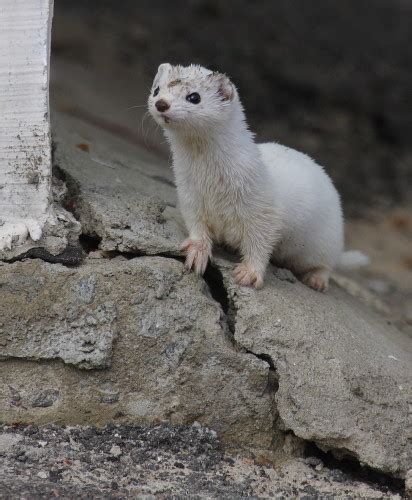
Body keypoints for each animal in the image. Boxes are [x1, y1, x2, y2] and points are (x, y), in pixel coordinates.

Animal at [147, 63, 366, 292]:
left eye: (194, 97)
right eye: (156, 90)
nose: (161, 104)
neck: (210, 182)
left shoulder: (263, 209)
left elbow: (260, 242)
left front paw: (250, 273)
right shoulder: (189, 195)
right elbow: (196, 225)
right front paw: (198, 251)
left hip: (325, 240)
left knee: (326, 264)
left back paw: (316, 279)